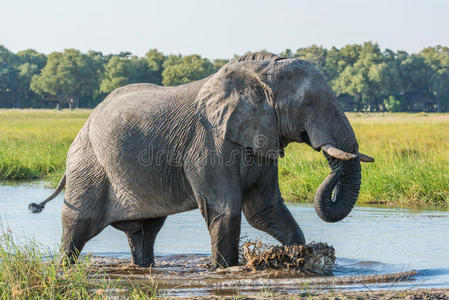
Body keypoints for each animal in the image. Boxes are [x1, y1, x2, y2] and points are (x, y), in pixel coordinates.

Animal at [28, 51, 374, 268]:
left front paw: (298, 256)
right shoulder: (208, 142)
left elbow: (263, 209)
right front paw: (223, 270)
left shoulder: (259, 135)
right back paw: (64, 268)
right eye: (308, 103)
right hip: (88, 164)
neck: (257, 71)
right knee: (77, 226)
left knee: (145, 232)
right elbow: (226, 209)